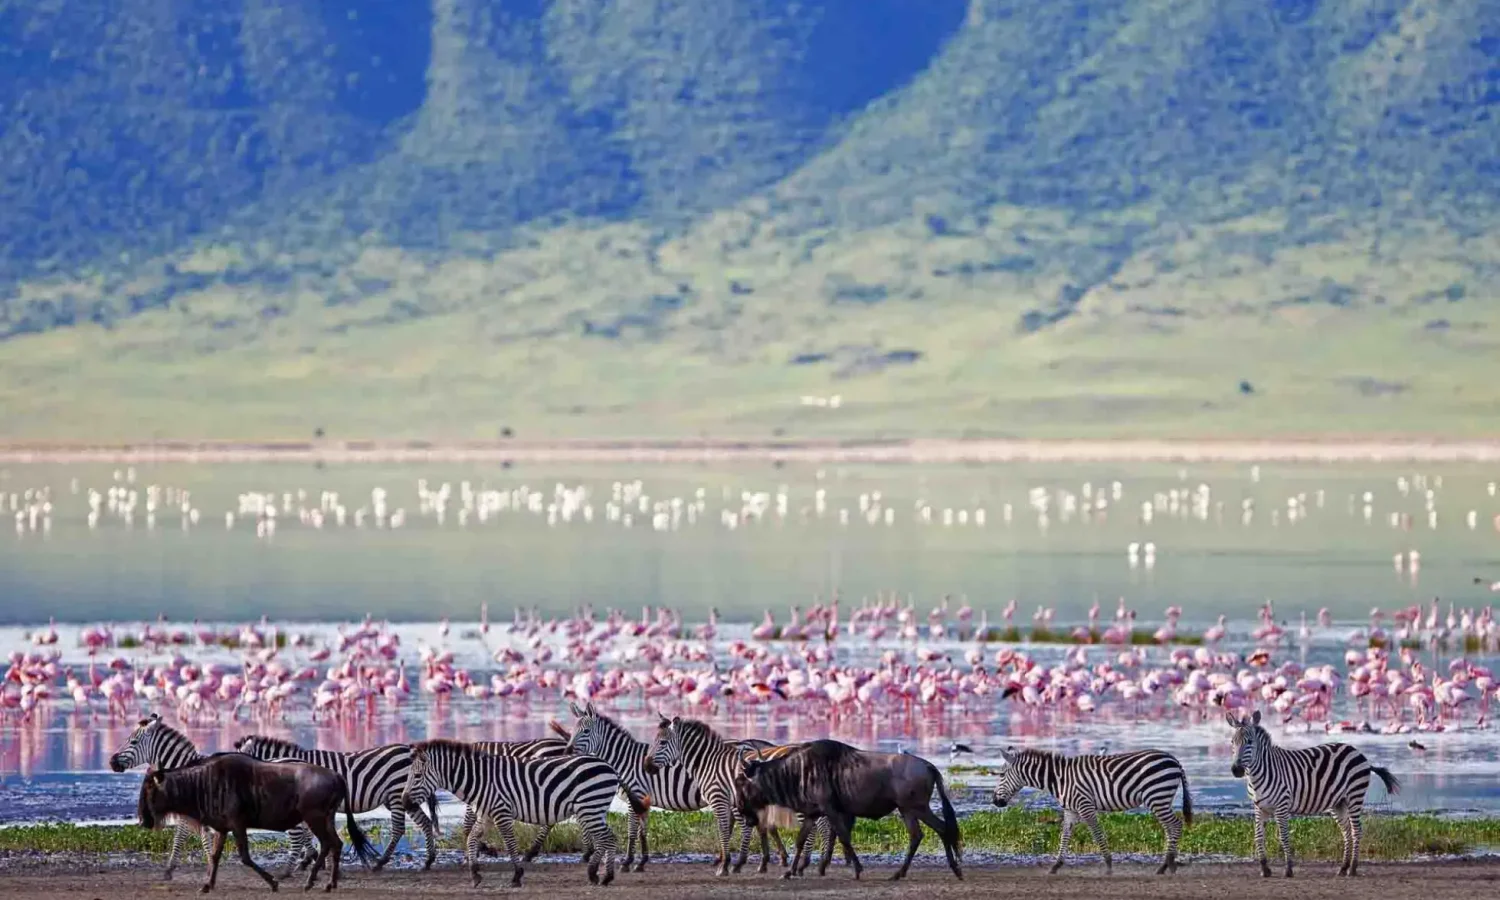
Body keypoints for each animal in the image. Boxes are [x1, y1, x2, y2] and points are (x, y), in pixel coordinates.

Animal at [232, 734, 440, 874]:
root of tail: (408, 749)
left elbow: (306, 832)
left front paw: (311, 859)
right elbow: (309, 833)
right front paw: (315, 858)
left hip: (397, 794)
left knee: (398, 829)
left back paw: (380, 862)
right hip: (402, 797)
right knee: (424, 822)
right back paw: (429, 860)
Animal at [399, 738, 627, 887]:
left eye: (416, 776)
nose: (404, 802)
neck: (480, 779)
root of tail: (608, 765)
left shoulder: (502, 812)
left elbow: (509, 843)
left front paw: (517, 876)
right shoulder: (486, 815)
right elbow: (471, 839)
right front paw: (475, 874)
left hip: (590, 807)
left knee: (608, 838)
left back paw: (603, 876)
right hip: (593, 809)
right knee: (606, 838)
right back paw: (597, 875)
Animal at [644, 714, 833, 877]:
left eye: (662, 743)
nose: (646, 766)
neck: (708, 763)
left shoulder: (718, 799)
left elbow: (724, 828)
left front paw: (725, 865)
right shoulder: (730, 802)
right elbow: (733, 828)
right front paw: (731, 863)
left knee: (816, 825)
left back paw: (804, 866)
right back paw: (809, 865)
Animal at [992, 745, 1193, 874]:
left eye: (1001, 775)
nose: (994, 801)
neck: (1059, 779)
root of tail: (1174, 760)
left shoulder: (1085, 806)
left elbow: (1097, 834)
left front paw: (1109, 866)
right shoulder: (1070, 810)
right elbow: (1064, 836)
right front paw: (1056, 866)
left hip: (1156, 796)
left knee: (1175, 825)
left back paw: (1166, 865)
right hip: (1160, 799)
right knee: (1170, 827)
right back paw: (1168, 865)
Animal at [1227, 710, 1401, 877]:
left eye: (1250, 742)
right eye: (1232, 742)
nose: (1236, 770)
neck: (1259, 775)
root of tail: (1356, 751)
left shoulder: (1282, 806)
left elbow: (1284, 837)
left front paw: (1288, 869)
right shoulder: (1259, 807)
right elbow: (1258, 836)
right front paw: (1265, 869)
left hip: (1354, 796)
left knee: (1356, 831)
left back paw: (1352, 868)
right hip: (1338, 803)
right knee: (1346, 832)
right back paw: (1343, 868)